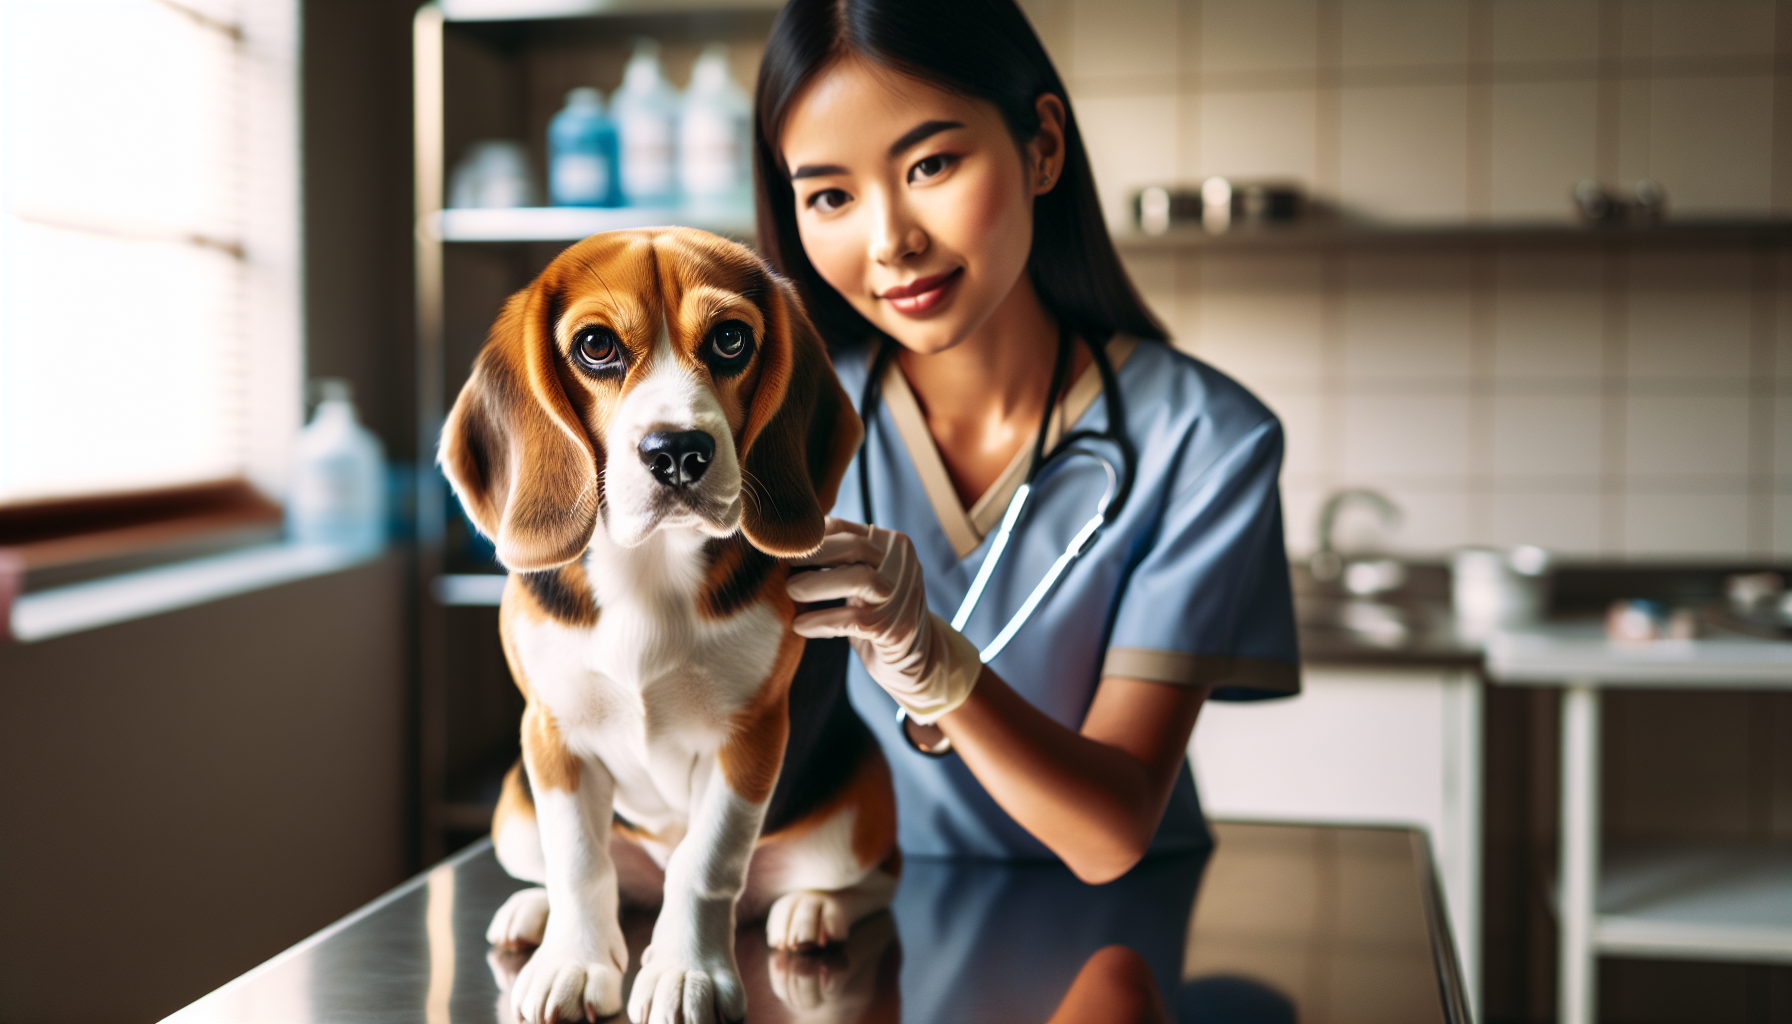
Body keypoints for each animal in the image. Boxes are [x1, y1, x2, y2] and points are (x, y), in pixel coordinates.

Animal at [439, 225, 896, 1024]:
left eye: (731, 339)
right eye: (595, 345)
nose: (677, 451)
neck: (647, 568)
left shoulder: (749, 737)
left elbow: (706, 863)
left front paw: (689, 974)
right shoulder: (551, 734)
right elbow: (579, 863)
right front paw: (574, 963)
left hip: (854, 812)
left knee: (870, 879)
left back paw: (814, 910)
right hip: (512, 813)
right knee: (598, 875)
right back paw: (534, 913)